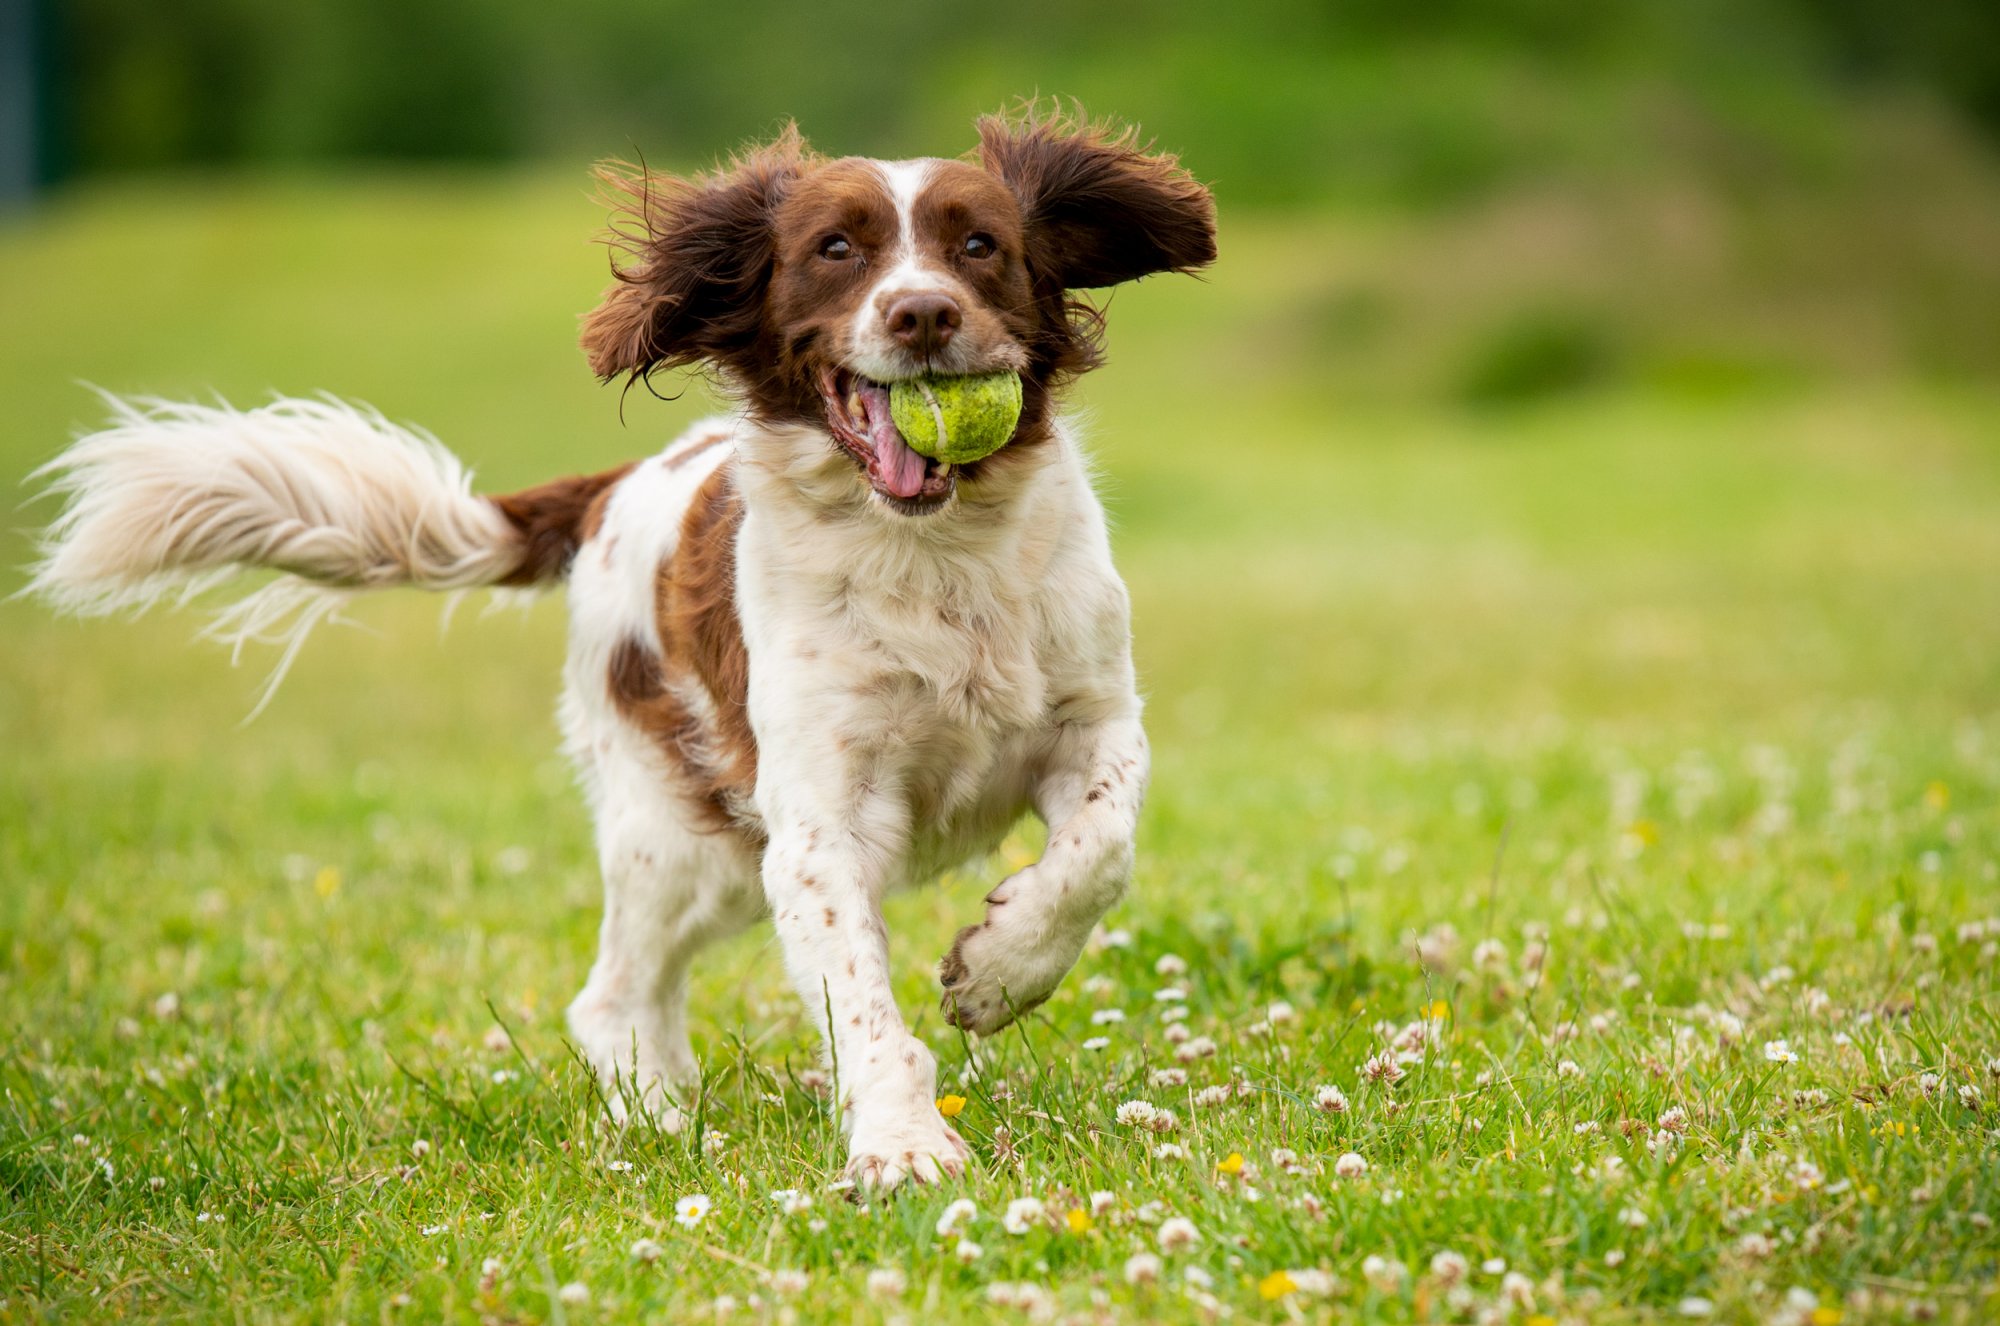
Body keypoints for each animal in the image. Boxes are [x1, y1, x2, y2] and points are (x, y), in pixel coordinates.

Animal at [27, 111, 1216, 1192]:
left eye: (980, 244)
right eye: (836, 248)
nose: (921, 313)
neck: (933, 556)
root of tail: (610, 493)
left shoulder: (1093, 721)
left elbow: (1097, 853)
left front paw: (998, 970)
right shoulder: (817, 823)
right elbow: (862, 999)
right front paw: (902, 1145)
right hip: (685, 835)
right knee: (611, 996)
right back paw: (658, 1123)